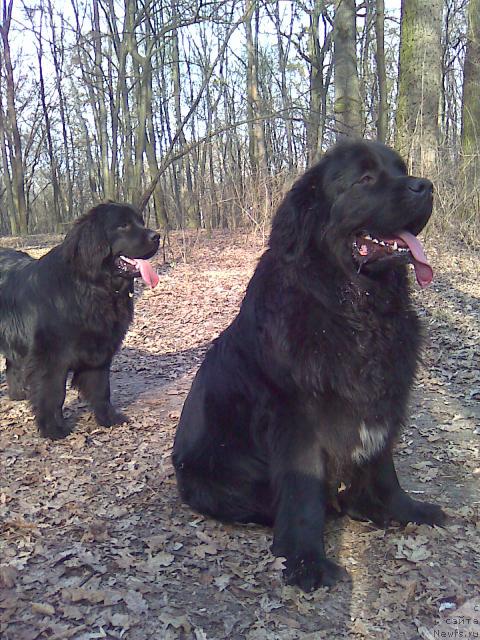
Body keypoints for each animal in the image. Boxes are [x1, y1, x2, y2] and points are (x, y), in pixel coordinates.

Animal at [0, 204, 161, 440]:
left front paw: (108, 418)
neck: (92, 286)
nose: (157, 236)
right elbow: (52, 393)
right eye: (123, 225)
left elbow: (101, 388)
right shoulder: (50, 358)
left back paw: (18, 394)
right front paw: (53, 429)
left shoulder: (99, 348)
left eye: (140, 222)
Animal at [172, 142, 446, 592]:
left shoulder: (383, 400)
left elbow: (384, 467)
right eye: (365, 178)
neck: (352, 308)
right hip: (214, 476)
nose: (424, 185)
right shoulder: (297, 417)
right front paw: (305, 561)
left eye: (401, 169)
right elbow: (303, 492)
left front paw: (402, 510)